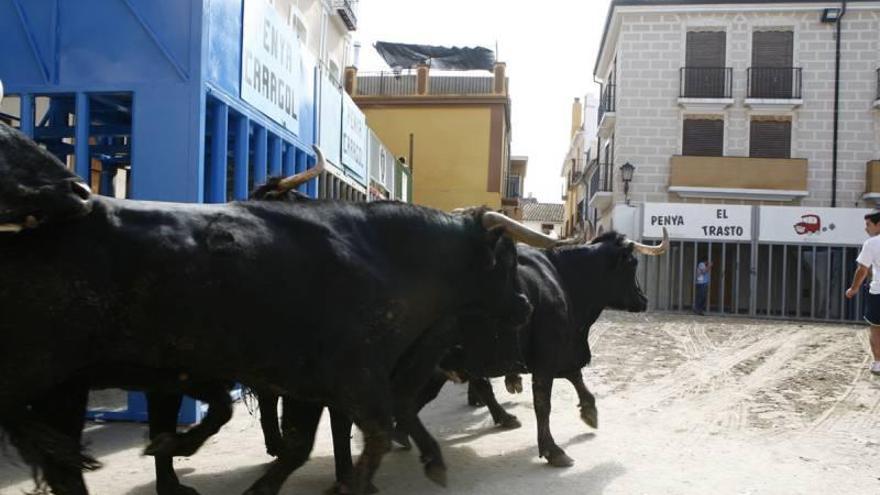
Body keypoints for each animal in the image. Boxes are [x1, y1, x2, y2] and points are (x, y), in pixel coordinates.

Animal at [0, 121, 552, 495]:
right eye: (506, 259)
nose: (525, 306)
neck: (385, 253)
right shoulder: (352, 379)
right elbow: (364, 436)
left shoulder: (312, 385)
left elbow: (302, 443)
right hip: (44, 374)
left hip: (66, 384)